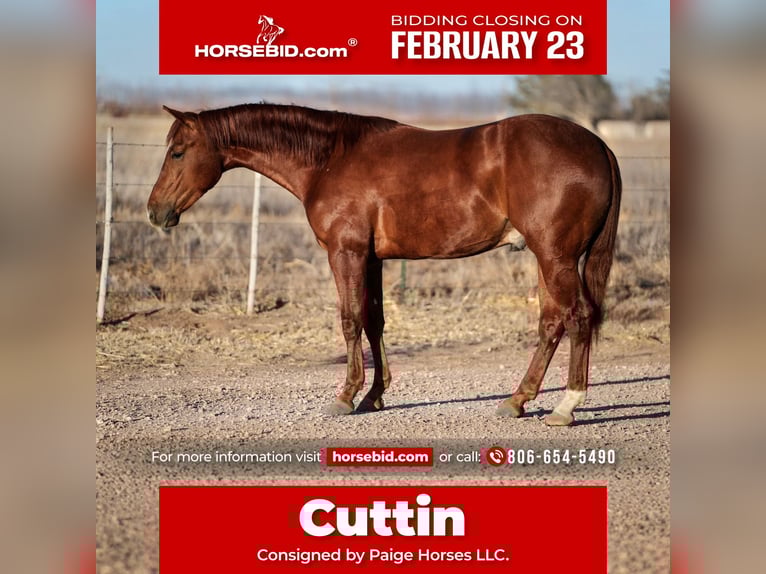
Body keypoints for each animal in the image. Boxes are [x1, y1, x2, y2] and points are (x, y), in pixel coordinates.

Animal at [147, 103, 621, 426]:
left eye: (178, 152)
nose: (155, 212)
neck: (330, 160)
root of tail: (597, 144)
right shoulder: (372, 259)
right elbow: (374, 321)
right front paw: (374, 395)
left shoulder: (346, 253)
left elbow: (350, 320)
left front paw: (345, 396)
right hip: (546, 258)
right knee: (552, 322)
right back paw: (517, 400)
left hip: (555, 257)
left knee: (577, 317)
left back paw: (566, 405)